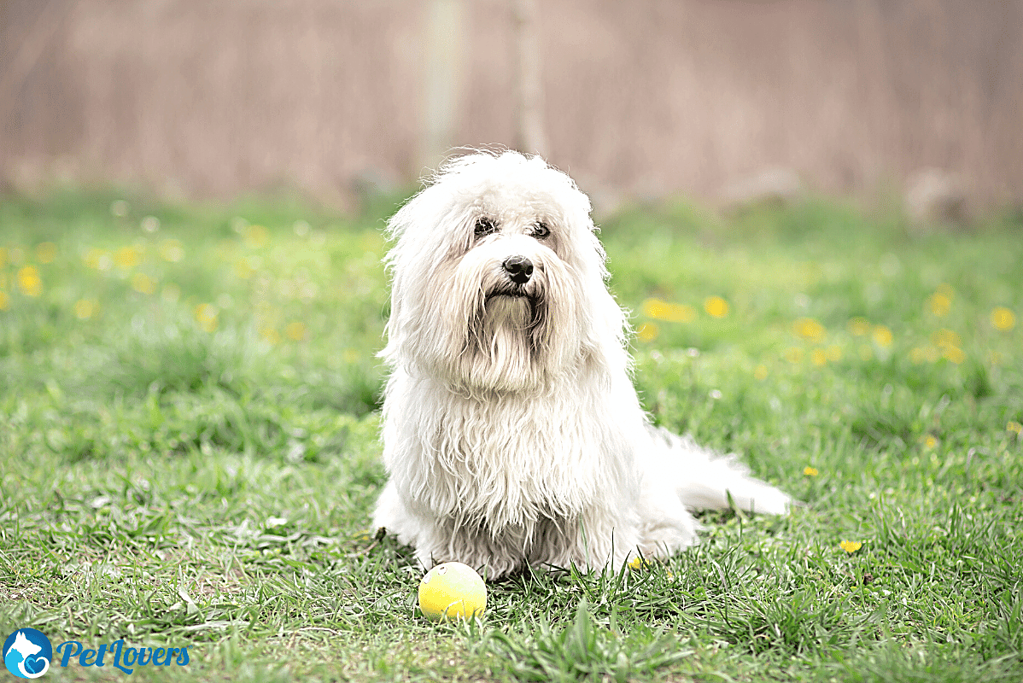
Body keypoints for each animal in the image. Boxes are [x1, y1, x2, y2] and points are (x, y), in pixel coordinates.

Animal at [374, 152, 789, 580]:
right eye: (482, 227)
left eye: (541, 231)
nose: (520, 265)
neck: (508, 372)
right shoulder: (449, 487)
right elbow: (463, 529)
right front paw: (467, 562)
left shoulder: (587, 477)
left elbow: (586, 526)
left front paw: (585, 565)